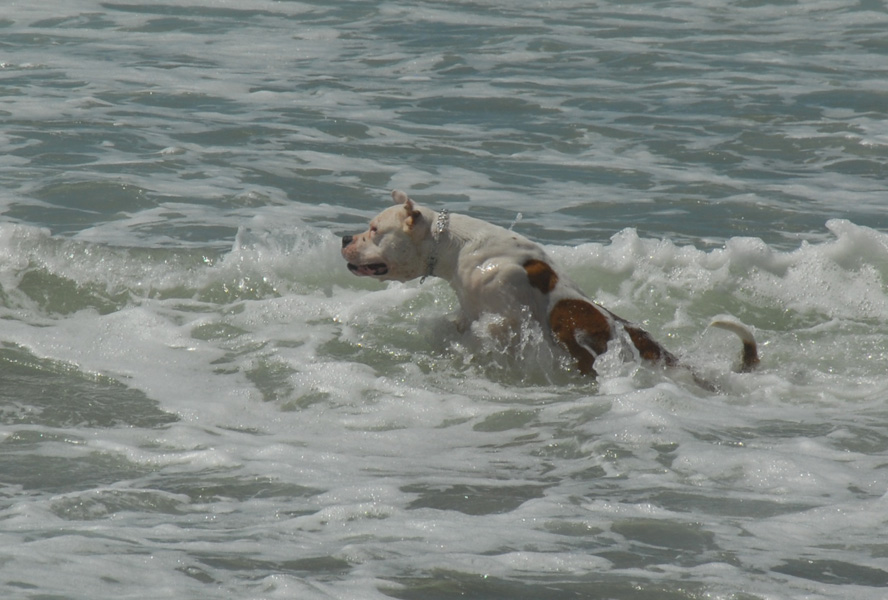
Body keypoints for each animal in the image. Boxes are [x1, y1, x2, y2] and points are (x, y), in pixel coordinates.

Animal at [340, 191, 756, 380]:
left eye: (374, 230)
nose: (344, 236)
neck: (458, 246)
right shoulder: (468, 310)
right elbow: (451, 325)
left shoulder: (506, 318)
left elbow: (485, 332)